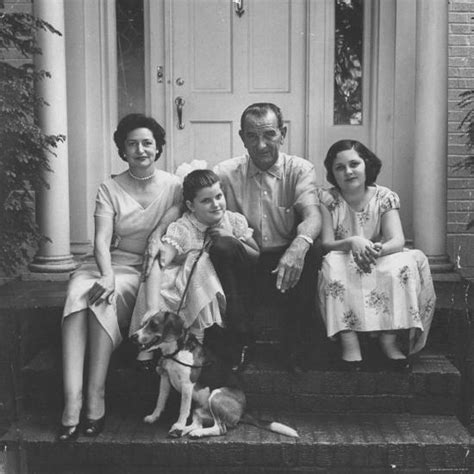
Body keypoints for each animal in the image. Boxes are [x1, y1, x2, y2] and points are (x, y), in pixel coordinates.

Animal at [130, 312, 298, 438]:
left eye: (153, 324)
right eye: (144, 323)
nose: (133, 337)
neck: (175, 352)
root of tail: (243, 412)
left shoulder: (187, 384)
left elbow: (183, 409)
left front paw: (178, 424)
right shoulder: (165, 378)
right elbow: (160, 401)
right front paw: (154, 417)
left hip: (216, 395)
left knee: (221, 429)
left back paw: (191, 432)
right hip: (198, 408)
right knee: (198, 423)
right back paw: (186, 431)